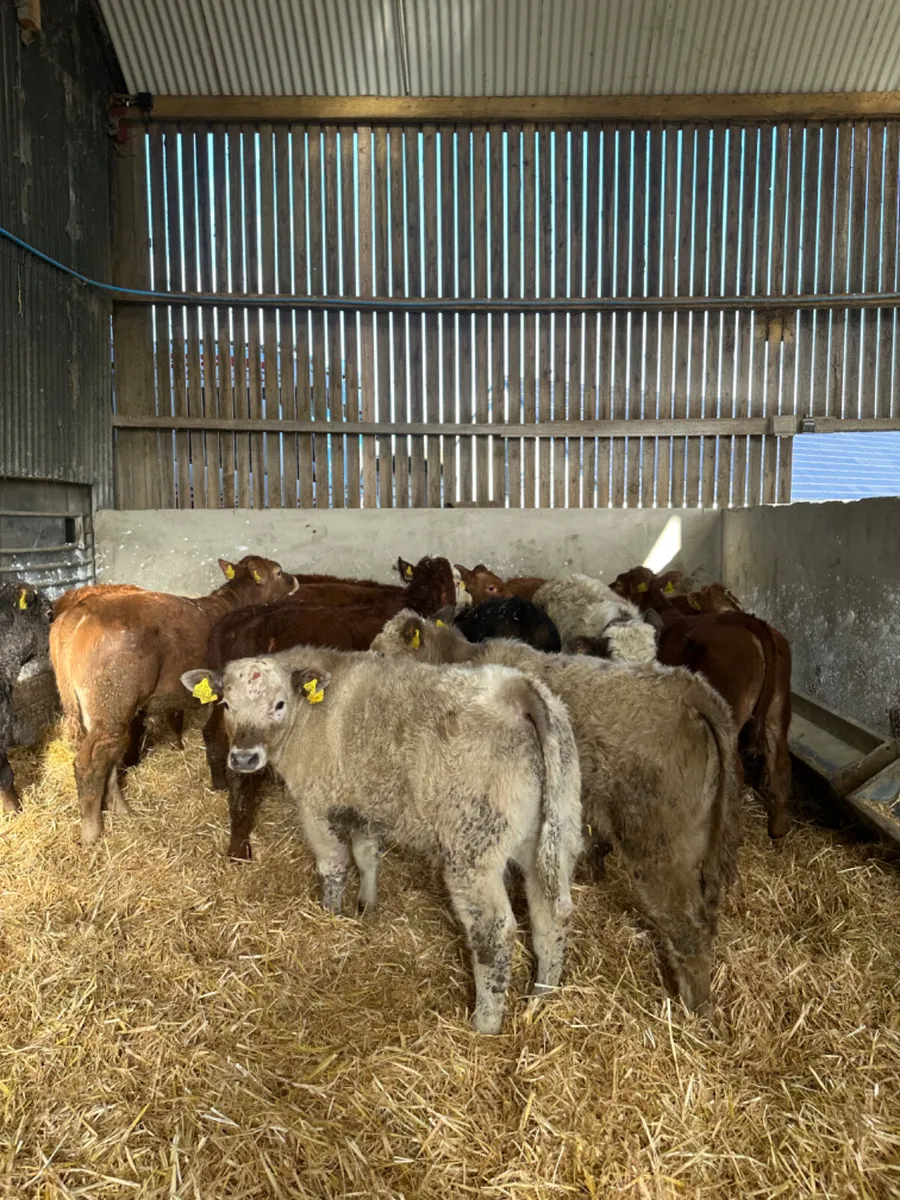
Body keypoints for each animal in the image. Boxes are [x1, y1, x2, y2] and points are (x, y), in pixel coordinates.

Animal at [49, 555, 296, 845]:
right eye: (278, 572)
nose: (295, 580)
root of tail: (78, 613)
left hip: (99, 714)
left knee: (107, 759)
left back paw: (121, 809)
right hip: (111, 706)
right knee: (90, 762)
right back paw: (91, 830)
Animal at [182, 649, 583, 1035]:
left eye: (279, 704)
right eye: (227, 704)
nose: (244, 758)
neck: (309, 717)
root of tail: (514, 688)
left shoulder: (316, 807)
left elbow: (334, 866)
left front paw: (331, 914)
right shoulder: (364, 805)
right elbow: (367, 855)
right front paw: (367, 905)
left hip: (473, 851)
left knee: (495, 934)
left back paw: (485, 1025)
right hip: (556, 835)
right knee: (551, 917)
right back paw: (541, 999)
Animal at [611, 566, 791, 839]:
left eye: (620, 584)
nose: (608, 587)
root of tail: (752, 625)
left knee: (736, 770)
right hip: (776, 711)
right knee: (779, 762)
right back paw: (778, 828)